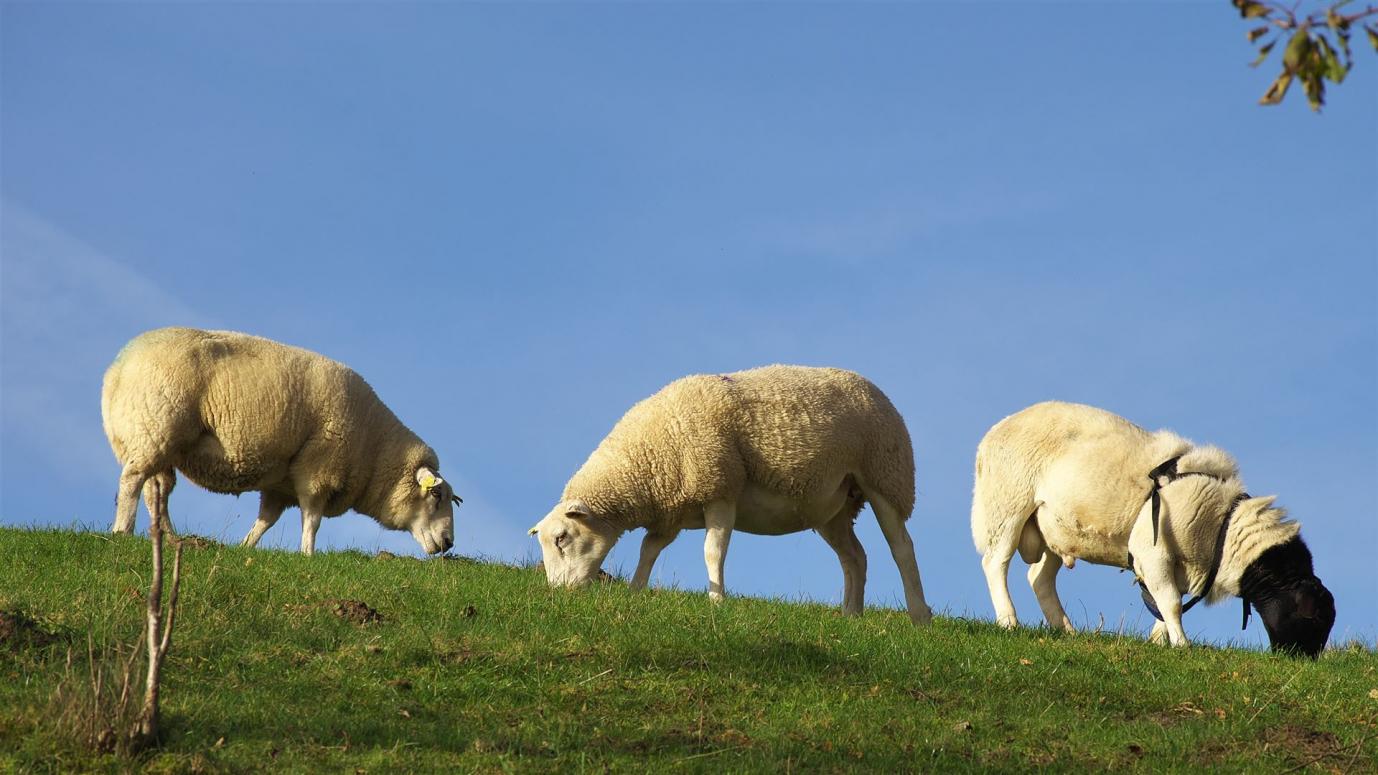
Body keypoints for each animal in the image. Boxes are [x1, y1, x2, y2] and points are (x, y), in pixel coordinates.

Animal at [99, 328, 463, 551]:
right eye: (436, 497)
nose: (448, 544)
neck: (374, 450)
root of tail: (116, 370)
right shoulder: (319, 470)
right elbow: (312, 520)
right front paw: (308, 554)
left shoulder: (281, 485)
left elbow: (266, 520)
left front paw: (245, 547)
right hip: (155, 430)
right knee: (132, 482)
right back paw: (122, 530)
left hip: (158, 442)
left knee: (157, 491)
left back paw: (169, 537)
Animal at [526, 364, 937, 623]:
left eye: (562, 538)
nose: (558, 593)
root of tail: (870, 385)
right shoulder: (672, 510)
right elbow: (649, 551)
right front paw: (636, 592)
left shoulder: (720, 490)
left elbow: (713, 550)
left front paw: (717, 600)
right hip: (833, 506)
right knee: (854, 556)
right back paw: (851, 615)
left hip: (885, 475)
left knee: (902, 547)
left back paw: (919, 615)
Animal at [970, 399, 1333, 653]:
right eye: (1315, 616)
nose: (1305, 662)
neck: (1223, 528)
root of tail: (995, 432)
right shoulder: (1152, 551)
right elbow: (1170, 602)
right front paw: (1183, 645)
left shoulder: (1181, 563)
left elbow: (1166, 602)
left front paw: (1160, 642)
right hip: (1007, 505)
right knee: (996, 562)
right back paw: (1009, 620)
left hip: (1053, 528)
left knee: (1039, 578)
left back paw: (1065, 629)